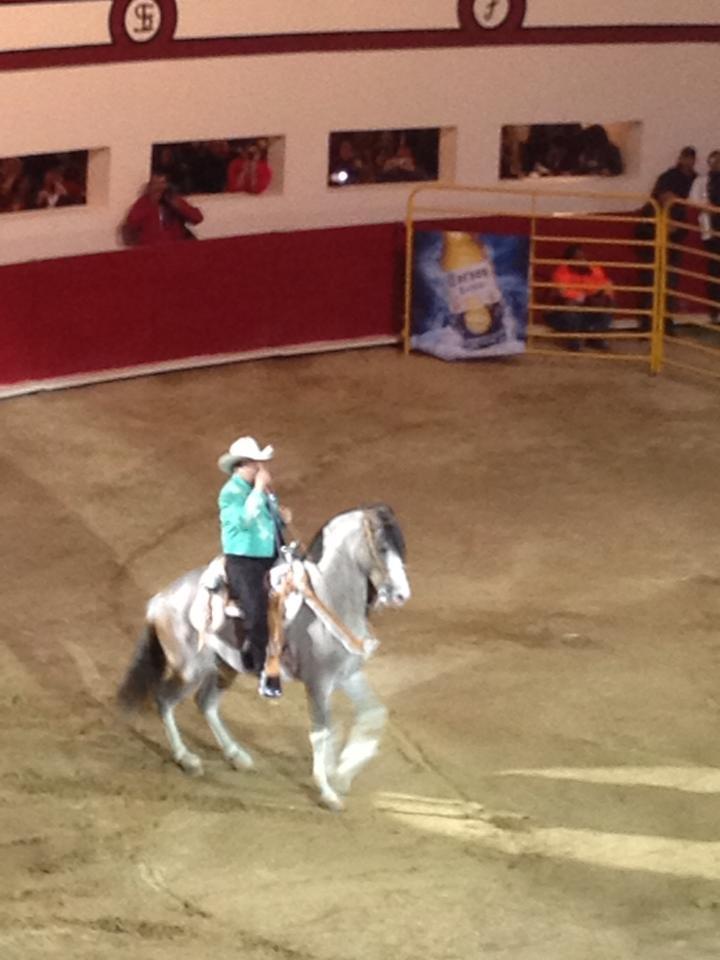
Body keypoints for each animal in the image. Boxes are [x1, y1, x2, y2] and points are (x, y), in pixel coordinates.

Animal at [119, 502, 410, 808]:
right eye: (382, 547)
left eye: (400, 546)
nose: (401, 595)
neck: (330, 601)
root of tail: (159, 600)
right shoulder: (318, 683)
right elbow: (321, 733)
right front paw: (328, 791)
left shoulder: (348, 676)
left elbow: (373, 714)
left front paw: (341, 775)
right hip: (189, 671)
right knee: (164, 701)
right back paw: (187, 759)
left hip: (224, 668)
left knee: (206, 703)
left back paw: (236, 755)